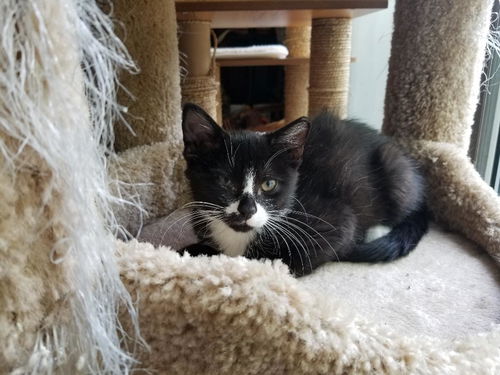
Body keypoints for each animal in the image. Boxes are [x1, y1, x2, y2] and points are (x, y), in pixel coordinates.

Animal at [182, 104, 428, 278]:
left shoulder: (335, 223)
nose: (247, 210)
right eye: (224, 180)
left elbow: (264, 261)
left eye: (269, 184)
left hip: (393, 167)